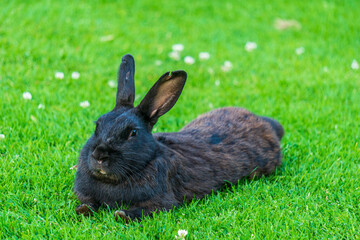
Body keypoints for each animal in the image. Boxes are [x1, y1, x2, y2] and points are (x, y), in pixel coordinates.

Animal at [74, 53, 284, 222]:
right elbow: (88, 204)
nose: (99, 156)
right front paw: (82, 210)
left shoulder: (162, 201)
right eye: (97, 125)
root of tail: (267, 125)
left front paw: (122, 215)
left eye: (133, 133)